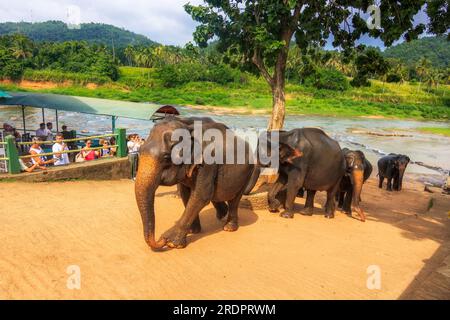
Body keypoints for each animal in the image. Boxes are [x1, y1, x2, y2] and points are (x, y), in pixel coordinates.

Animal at [134, 117, 255, 250]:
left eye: (166, 157)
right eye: (139, 150)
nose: (160, 240)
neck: (186, 124)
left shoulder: (208, 162)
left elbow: (200, 195)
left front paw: (171, 242)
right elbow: (186, 194)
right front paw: (193, 231)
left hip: (247, 173)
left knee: (234, 199)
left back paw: (228, 227)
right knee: (216, 194)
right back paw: (222, 215)